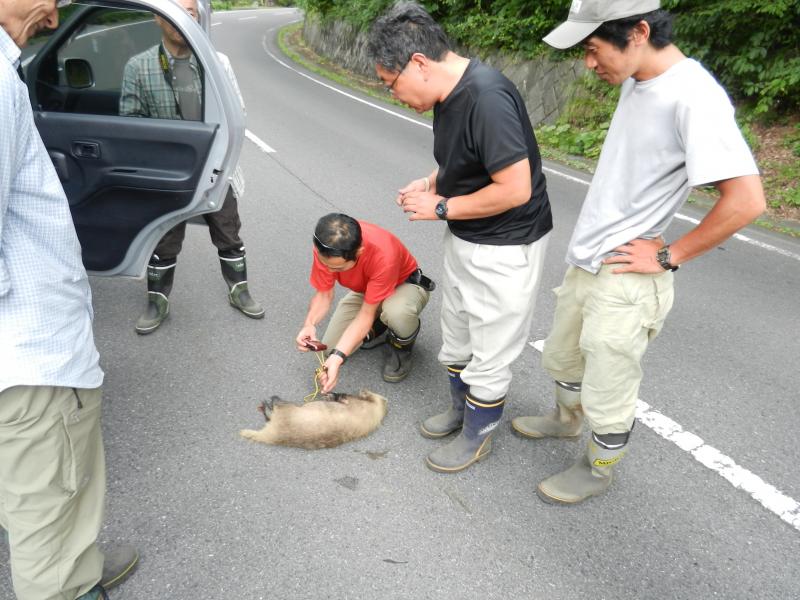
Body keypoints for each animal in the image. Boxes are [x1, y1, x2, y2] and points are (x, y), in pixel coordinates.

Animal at [238, 390, 388, 450]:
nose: (363, 390)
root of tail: (272, 435)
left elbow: (342, 397)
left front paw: (333, 395)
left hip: (286, 408)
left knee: (274, 408)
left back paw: (270, 402)